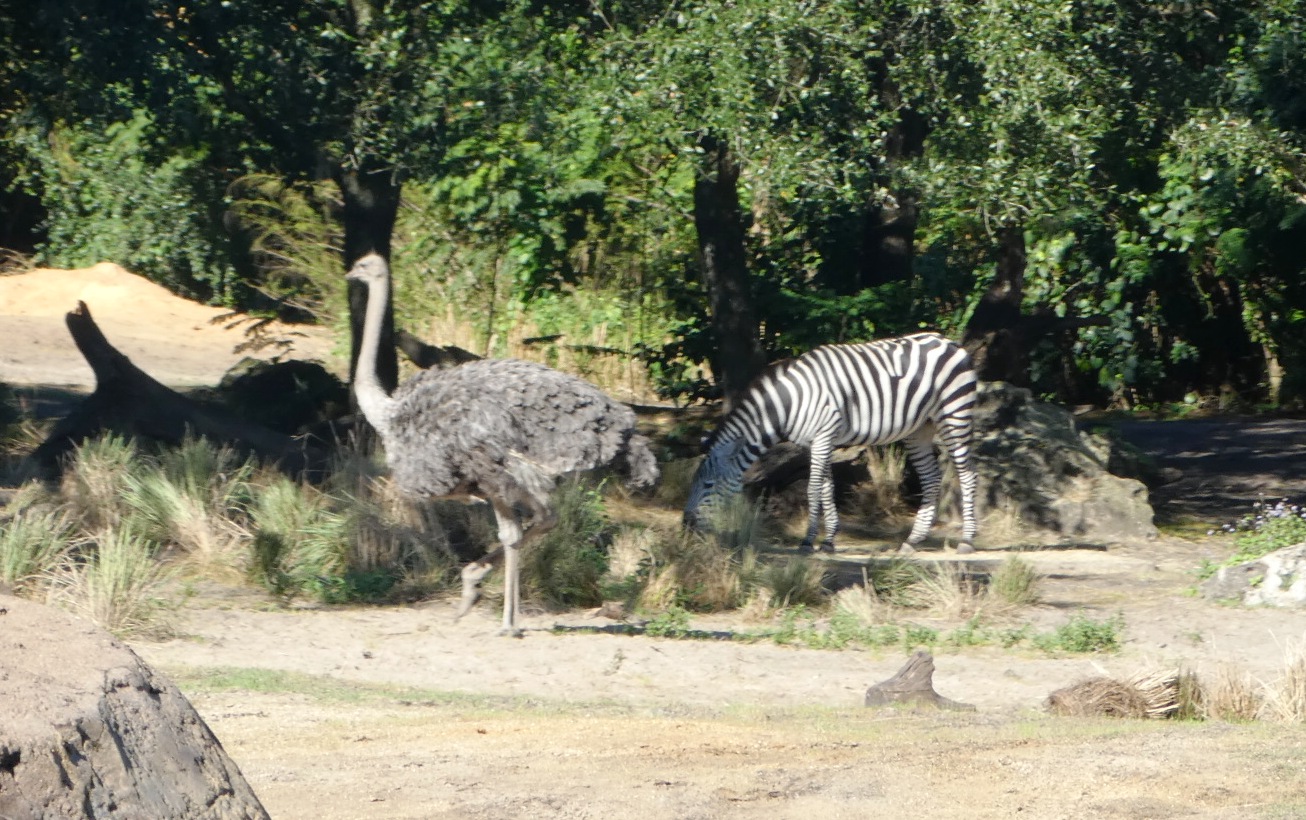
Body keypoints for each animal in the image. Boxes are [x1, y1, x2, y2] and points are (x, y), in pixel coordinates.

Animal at [683, 332, 979, 554]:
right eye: (694, 483)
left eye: (708, 485)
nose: (686, 526)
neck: (792, 402)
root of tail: (949, 341)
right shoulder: (815, 442)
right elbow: (826, 488)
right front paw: (827, 541)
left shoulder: (823, 436)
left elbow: (813, 489)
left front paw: (807, 542)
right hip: (920, 427)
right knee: (930, 478)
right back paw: (912, 541)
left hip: (954, 412)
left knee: (968, 475)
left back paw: (967, 540)